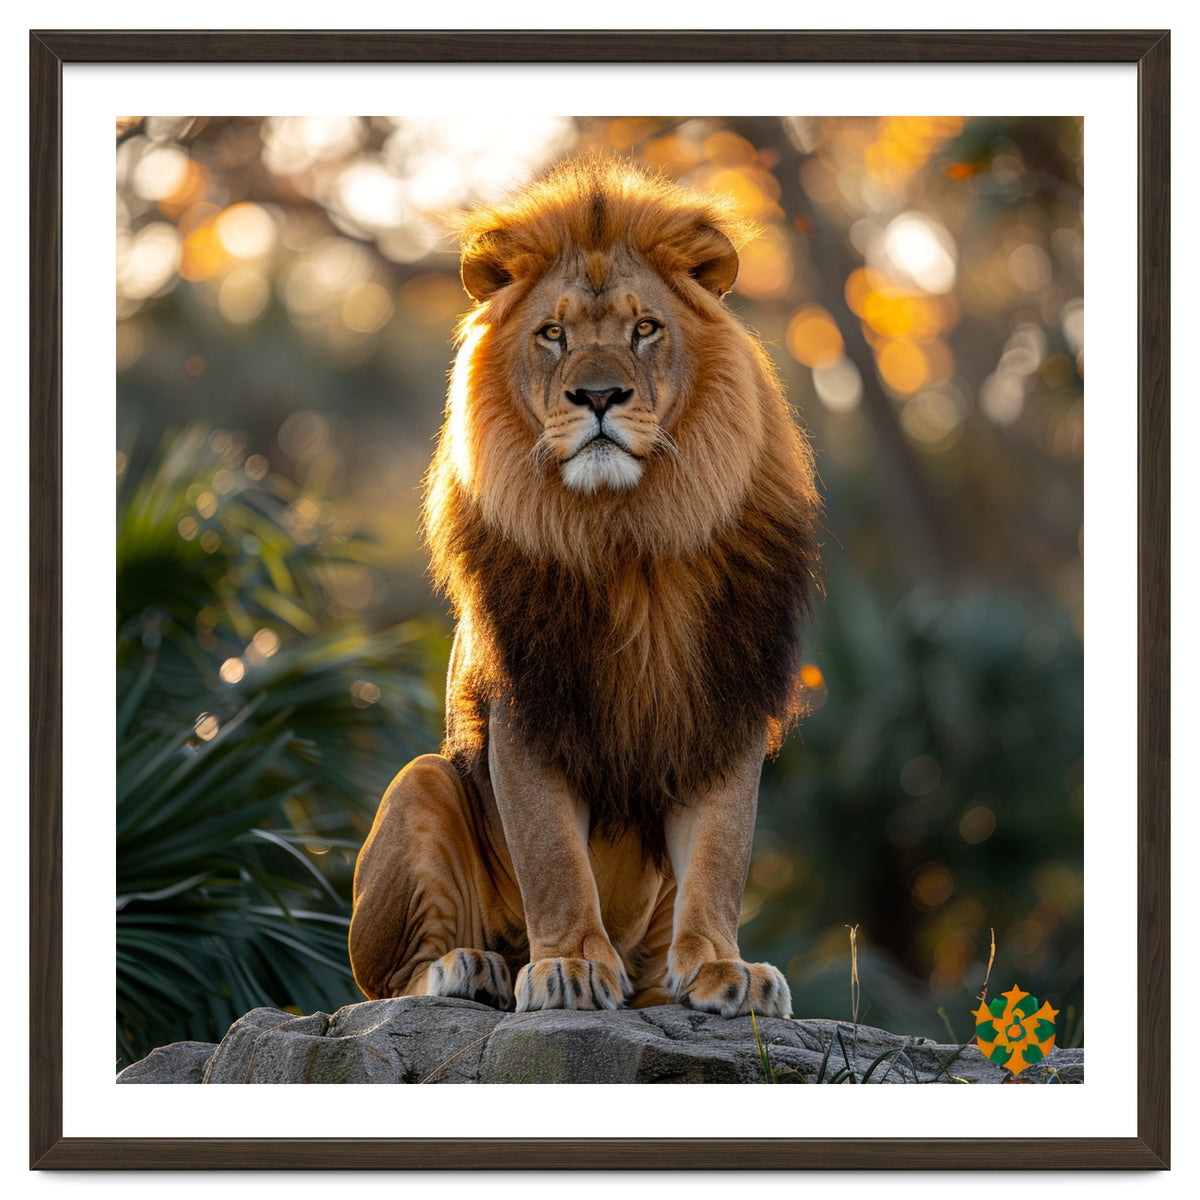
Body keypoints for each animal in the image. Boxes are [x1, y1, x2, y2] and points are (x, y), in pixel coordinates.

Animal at [349, 158, 821, 1019]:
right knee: (388, 981)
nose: (598, 397)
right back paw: (472, 968)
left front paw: (722, 969)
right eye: (553, 334)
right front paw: (567, 964)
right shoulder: (526, 706)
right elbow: (554, 858)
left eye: (645, 329)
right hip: (421, 783)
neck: (628, 535)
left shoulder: (724, 705)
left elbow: (720, 854)